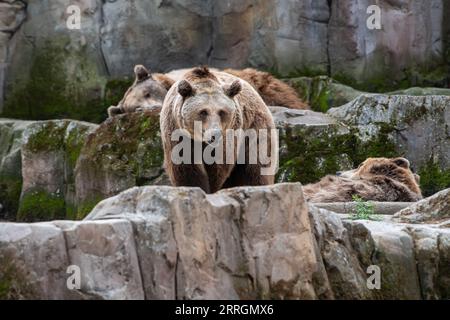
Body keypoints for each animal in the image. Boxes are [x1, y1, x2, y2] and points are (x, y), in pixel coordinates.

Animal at [158, 66, 278, 194]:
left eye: (222, 112)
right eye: (203, 112)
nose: (215, 134)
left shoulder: (229, 134)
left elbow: (218, 167)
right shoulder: (176, 130)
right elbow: (186, 166)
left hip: (255, 127)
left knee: (256, 166)